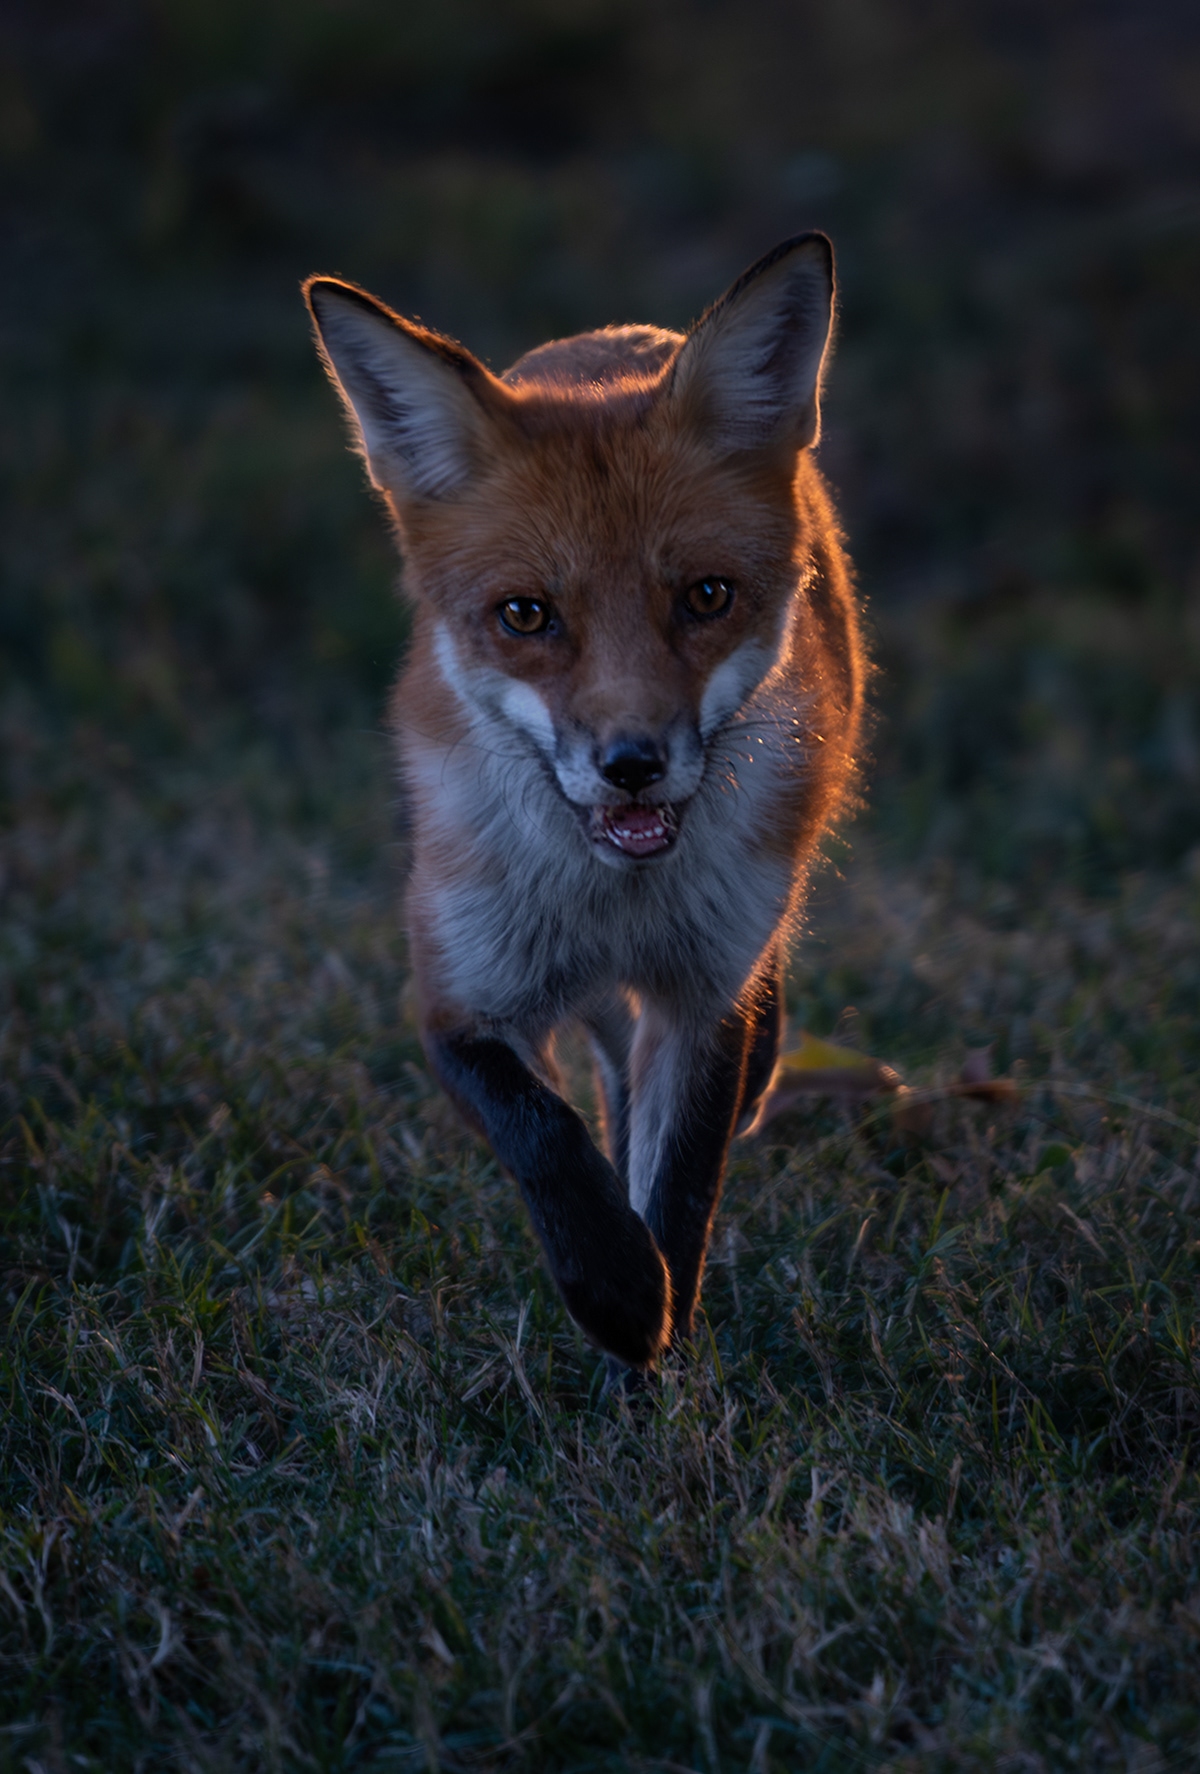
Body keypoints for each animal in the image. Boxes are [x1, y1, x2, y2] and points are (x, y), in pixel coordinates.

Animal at [304, 233, 864, 1384]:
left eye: (705, 595)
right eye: (527, 615)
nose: (632, 766)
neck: (612, 899)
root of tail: (616, 338)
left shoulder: (703, 998)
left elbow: (681, 1183)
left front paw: (657, 1343)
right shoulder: (458, 994)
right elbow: (546, 1133)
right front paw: (614, 1290)